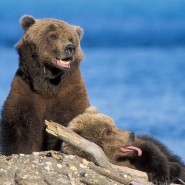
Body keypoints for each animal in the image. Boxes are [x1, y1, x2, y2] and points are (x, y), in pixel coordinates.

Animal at [0, 15, 89, 155]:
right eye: (53, 36)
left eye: (71, 38)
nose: (70, 48)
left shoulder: (70, 93)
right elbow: (17, 127)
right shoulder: (25, 91)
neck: (48, 84)